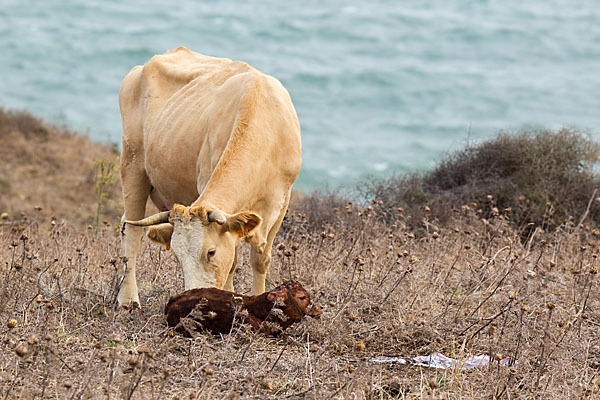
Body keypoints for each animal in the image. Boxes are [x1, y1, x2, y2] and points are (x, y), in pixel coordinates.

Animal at [118, 47, 302, 310]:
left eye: (211, 252)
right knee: (131, 232)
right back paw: (128, 300)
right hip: (132, 163)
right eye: (177, 256)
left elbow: (261, 259)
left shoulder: (281, 201)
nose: (193, 298)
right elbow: (233, 263)